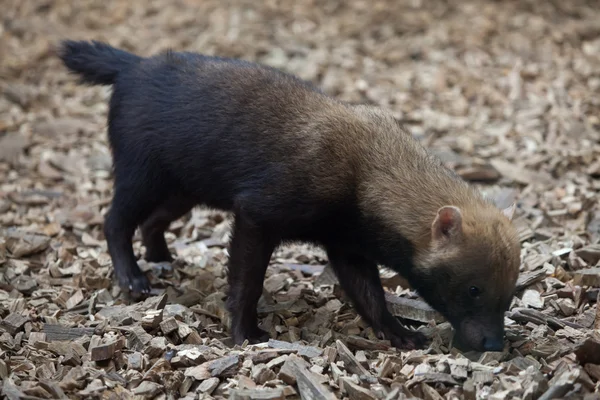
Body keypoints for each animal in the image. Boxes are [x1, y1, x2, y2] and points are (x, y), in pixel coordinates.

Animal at [58, 40, 524, 352]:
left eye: (511, 290)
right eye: (474, 289)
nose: (494, 343)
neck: (365, 166)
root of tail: (133, 63)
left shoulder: (348, 247)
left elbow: (371, 297)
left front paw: (400, 334)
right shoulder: (256, 215)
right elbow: (245, 281)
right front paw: (245, 333)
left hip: (181, 191)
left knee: (152, 224)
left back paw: (163, 259)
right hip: (141, 177)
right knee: (115, 222)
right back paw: (134, 278)